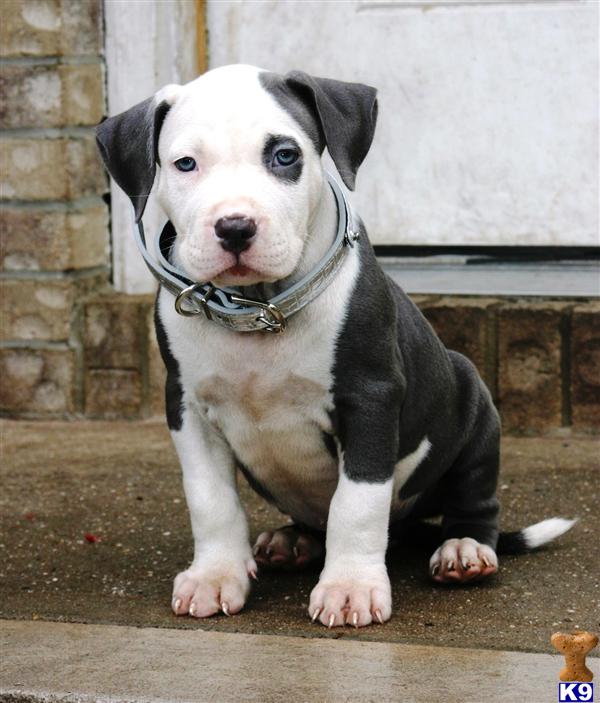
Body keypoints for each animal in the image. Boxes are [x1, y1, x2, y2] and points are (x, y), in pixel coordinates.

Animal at [96, 64, 576, 628]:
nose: (234, 227)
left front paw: (350, 587)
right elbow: (210, 498)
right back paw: (293, 542)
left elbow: (357, 503)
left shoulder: (369, 399)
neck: (258, 309)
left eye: (285, 156)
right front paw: (215, 576)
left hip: (473, 404)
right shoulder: (187, 406)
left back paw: (464, 549)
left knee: (475, 498)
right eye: (185, 164)